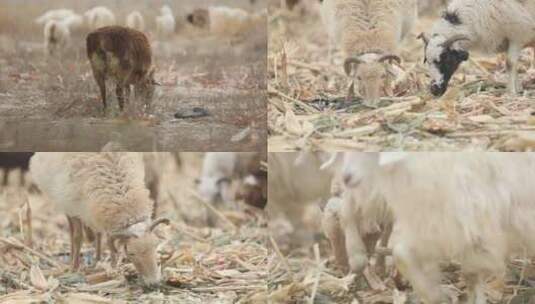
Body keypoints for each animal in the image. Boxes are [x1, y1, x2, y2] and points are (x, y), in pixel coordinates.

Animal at [30, 153, 169, 286]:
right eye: (131, 253)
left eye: (155, 246)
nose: (154, 283)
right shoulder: (72, 206)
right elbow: (77, 237)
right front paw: (74, 268)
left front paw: (111, 265)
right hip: (66, 203)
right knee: (72, 230)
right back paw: (73, 259)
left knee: (97, 232)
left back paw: (96, 259)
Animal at [342, 153, 535, 304]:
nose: (346, 177)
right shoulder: (437, 229)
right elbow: (402, 253)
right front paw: (434, 294)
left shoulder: (473, 232)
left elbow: (473, 276)